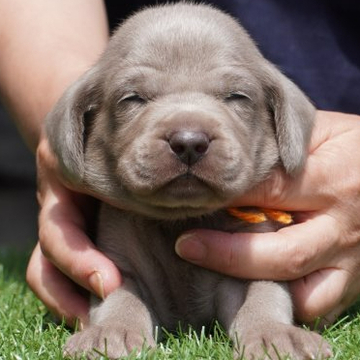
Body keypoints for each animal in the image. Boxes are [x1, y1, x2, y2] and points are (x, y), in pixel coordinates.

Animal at [47, 3, 332, 360]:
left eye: (237, 96)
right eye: (132, 98)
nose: (188, 142)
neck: (180, 220)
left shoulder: (251, 264)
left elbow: (264, 295)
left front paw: (274, 335)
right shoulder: (119, 263)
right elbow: (120, 297)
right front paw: (112, 332)